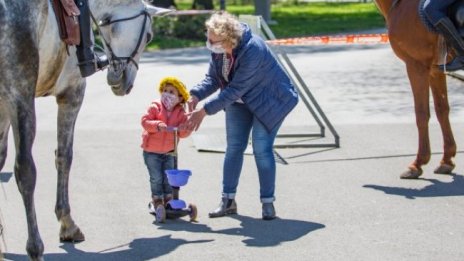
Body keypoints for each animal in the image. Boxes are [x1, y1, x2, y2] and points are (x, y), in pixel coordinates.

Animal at [0, 1, 170, 258]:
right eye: (149, 35)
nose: (125, 83)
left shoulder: (3, 106)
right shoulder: (72, 93)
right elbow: (64, 157)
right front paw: (67, 223)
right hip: (22, 96)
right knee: (25, 171)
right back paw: (35, 246)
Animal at [376, 0, 454, 177]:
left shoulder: (416, 65)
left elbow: (421, 114)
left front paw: (418, 164)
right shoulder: (435, 69)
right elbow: (442, 110)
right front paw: (446, 161)